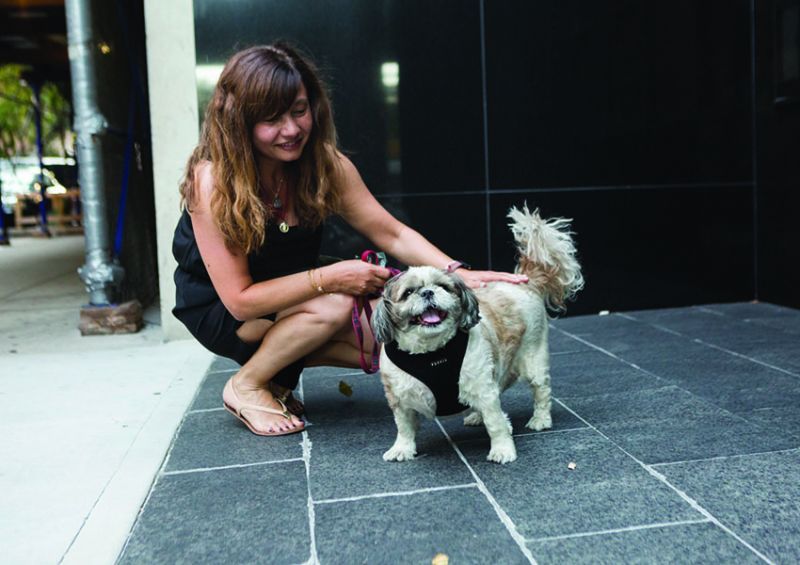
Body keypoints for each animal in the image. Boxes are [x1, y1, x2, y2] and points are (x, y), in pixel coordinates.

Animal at [372, 203, 584, 462]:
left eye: (443, 287)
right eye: (408, 292)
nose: (428, 292)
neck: (431, 353)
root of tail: (527, 281)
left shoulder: (482, 387)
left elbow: (495, 422)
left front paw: (502, 449)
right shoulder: (399, 398)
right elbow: (403, 426)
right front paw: (402, 448)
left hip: (533, 358)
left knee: (541, 390)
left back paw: (540, 419)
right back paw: (475, 415)